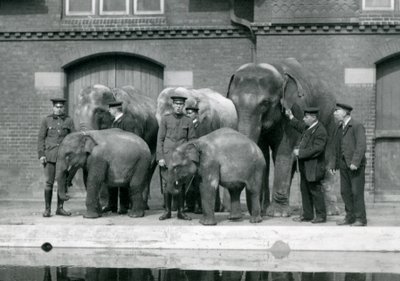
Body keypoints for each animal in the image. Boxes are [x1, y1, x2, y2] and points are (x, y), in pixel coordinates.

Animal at [227, 57, 340, 217]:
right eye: (233, 102)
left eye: (265, 103)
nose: (253, 213)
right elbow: (264, 154)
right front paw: (265, 211)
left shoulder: (296, 108)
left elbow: (284, 151)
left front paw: (277, 214)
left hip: (329, 117)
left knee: (327, 155)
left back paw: (331, 212)